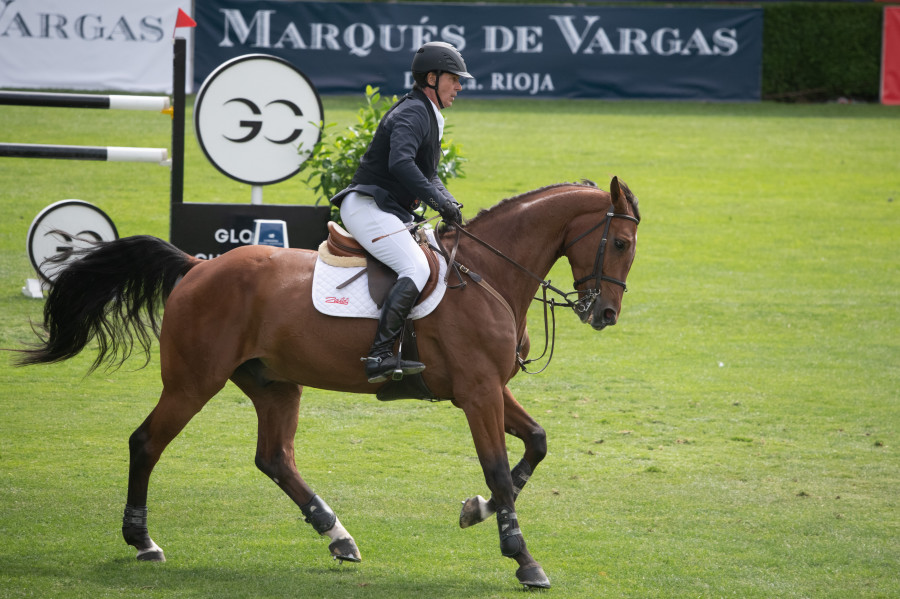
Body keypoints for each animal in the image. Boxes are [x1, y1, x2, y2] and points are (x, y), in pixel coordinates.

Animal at [14, 176, 640, 588]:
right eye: (622, 243)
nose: (606, 315)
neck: (487, 274)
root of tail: (197, 267)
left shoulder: (486, 388)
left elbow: (535, 442)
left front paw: (475, 511)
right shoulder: (477, 393)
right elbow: (501, 472)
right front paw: (523, 558)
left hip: (273, 384)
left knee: (274, 457)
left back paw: (337, 534)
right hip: (193, 383)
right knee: (146, 443)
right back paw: (143, 540)